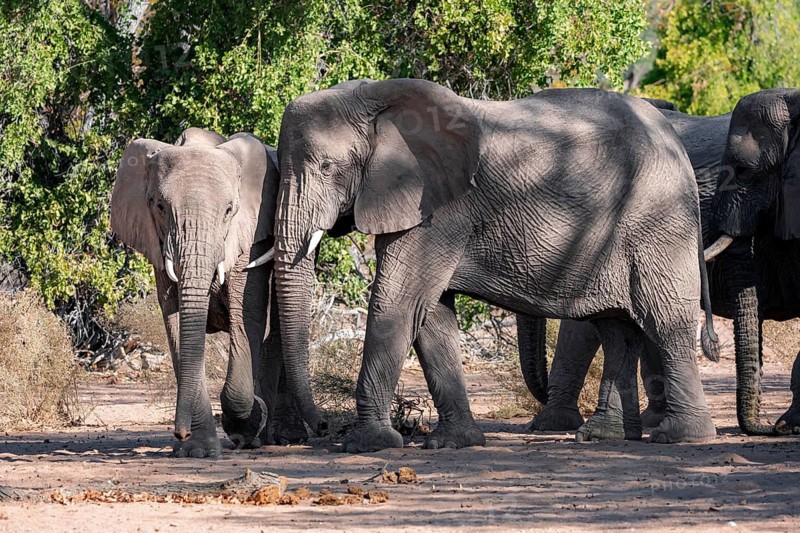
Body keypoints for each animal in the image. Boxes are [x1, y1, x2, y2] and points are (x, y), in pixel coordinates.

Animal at [110, 127, 308, 458]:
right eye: (159, 206)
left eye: (229, 210)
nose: (179, 432)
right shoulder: (158, 246)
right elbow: (176, 323)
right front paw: (198, 451)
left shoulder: (250, 235)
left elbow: (247, 315)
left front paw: (248, 420)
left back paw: (277, 436)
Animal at [261, 78, 718, 452]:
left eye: (327, 167)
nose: (321, 427)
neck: (374, 98)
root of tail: (677, 146)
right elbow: (432, 316)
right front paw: (453, 442)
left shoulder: (442, 209)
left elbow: (399, 303)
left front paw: (367, 445)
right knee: (616, 327)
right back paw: (603, 436)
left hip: (658, 220)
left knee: (665, 320)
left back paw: (680, 436)